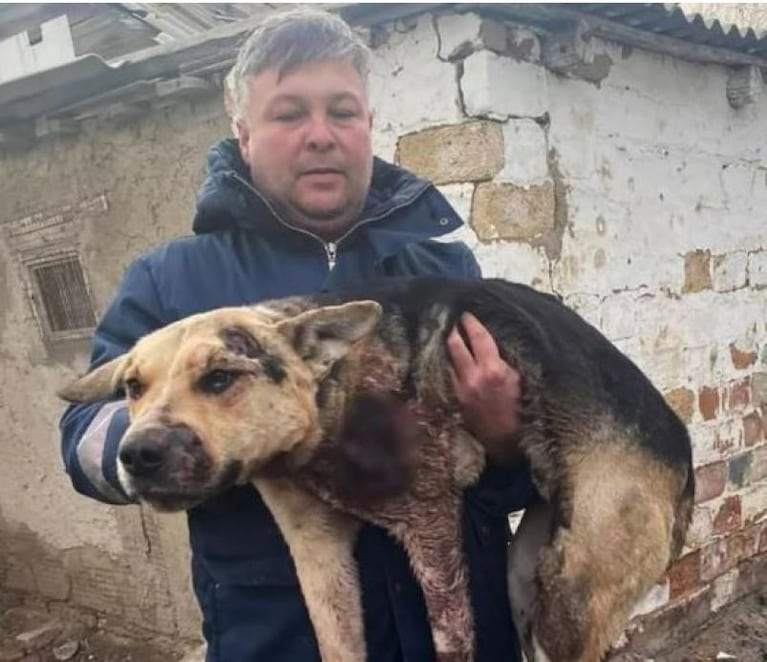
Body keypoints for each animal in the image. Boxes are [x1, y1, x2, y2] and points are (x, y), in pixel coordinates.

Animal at [58, 278, 696, 662]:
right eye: (133, 387)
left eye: (220, 377)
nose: (137, 454)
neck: (331, 396)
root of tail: (685, 457)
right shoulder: (316, 549)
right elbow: (336, 642)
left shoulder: (432, 524)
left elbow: (451, 641)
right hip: (524, 572)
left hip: (574, 585)